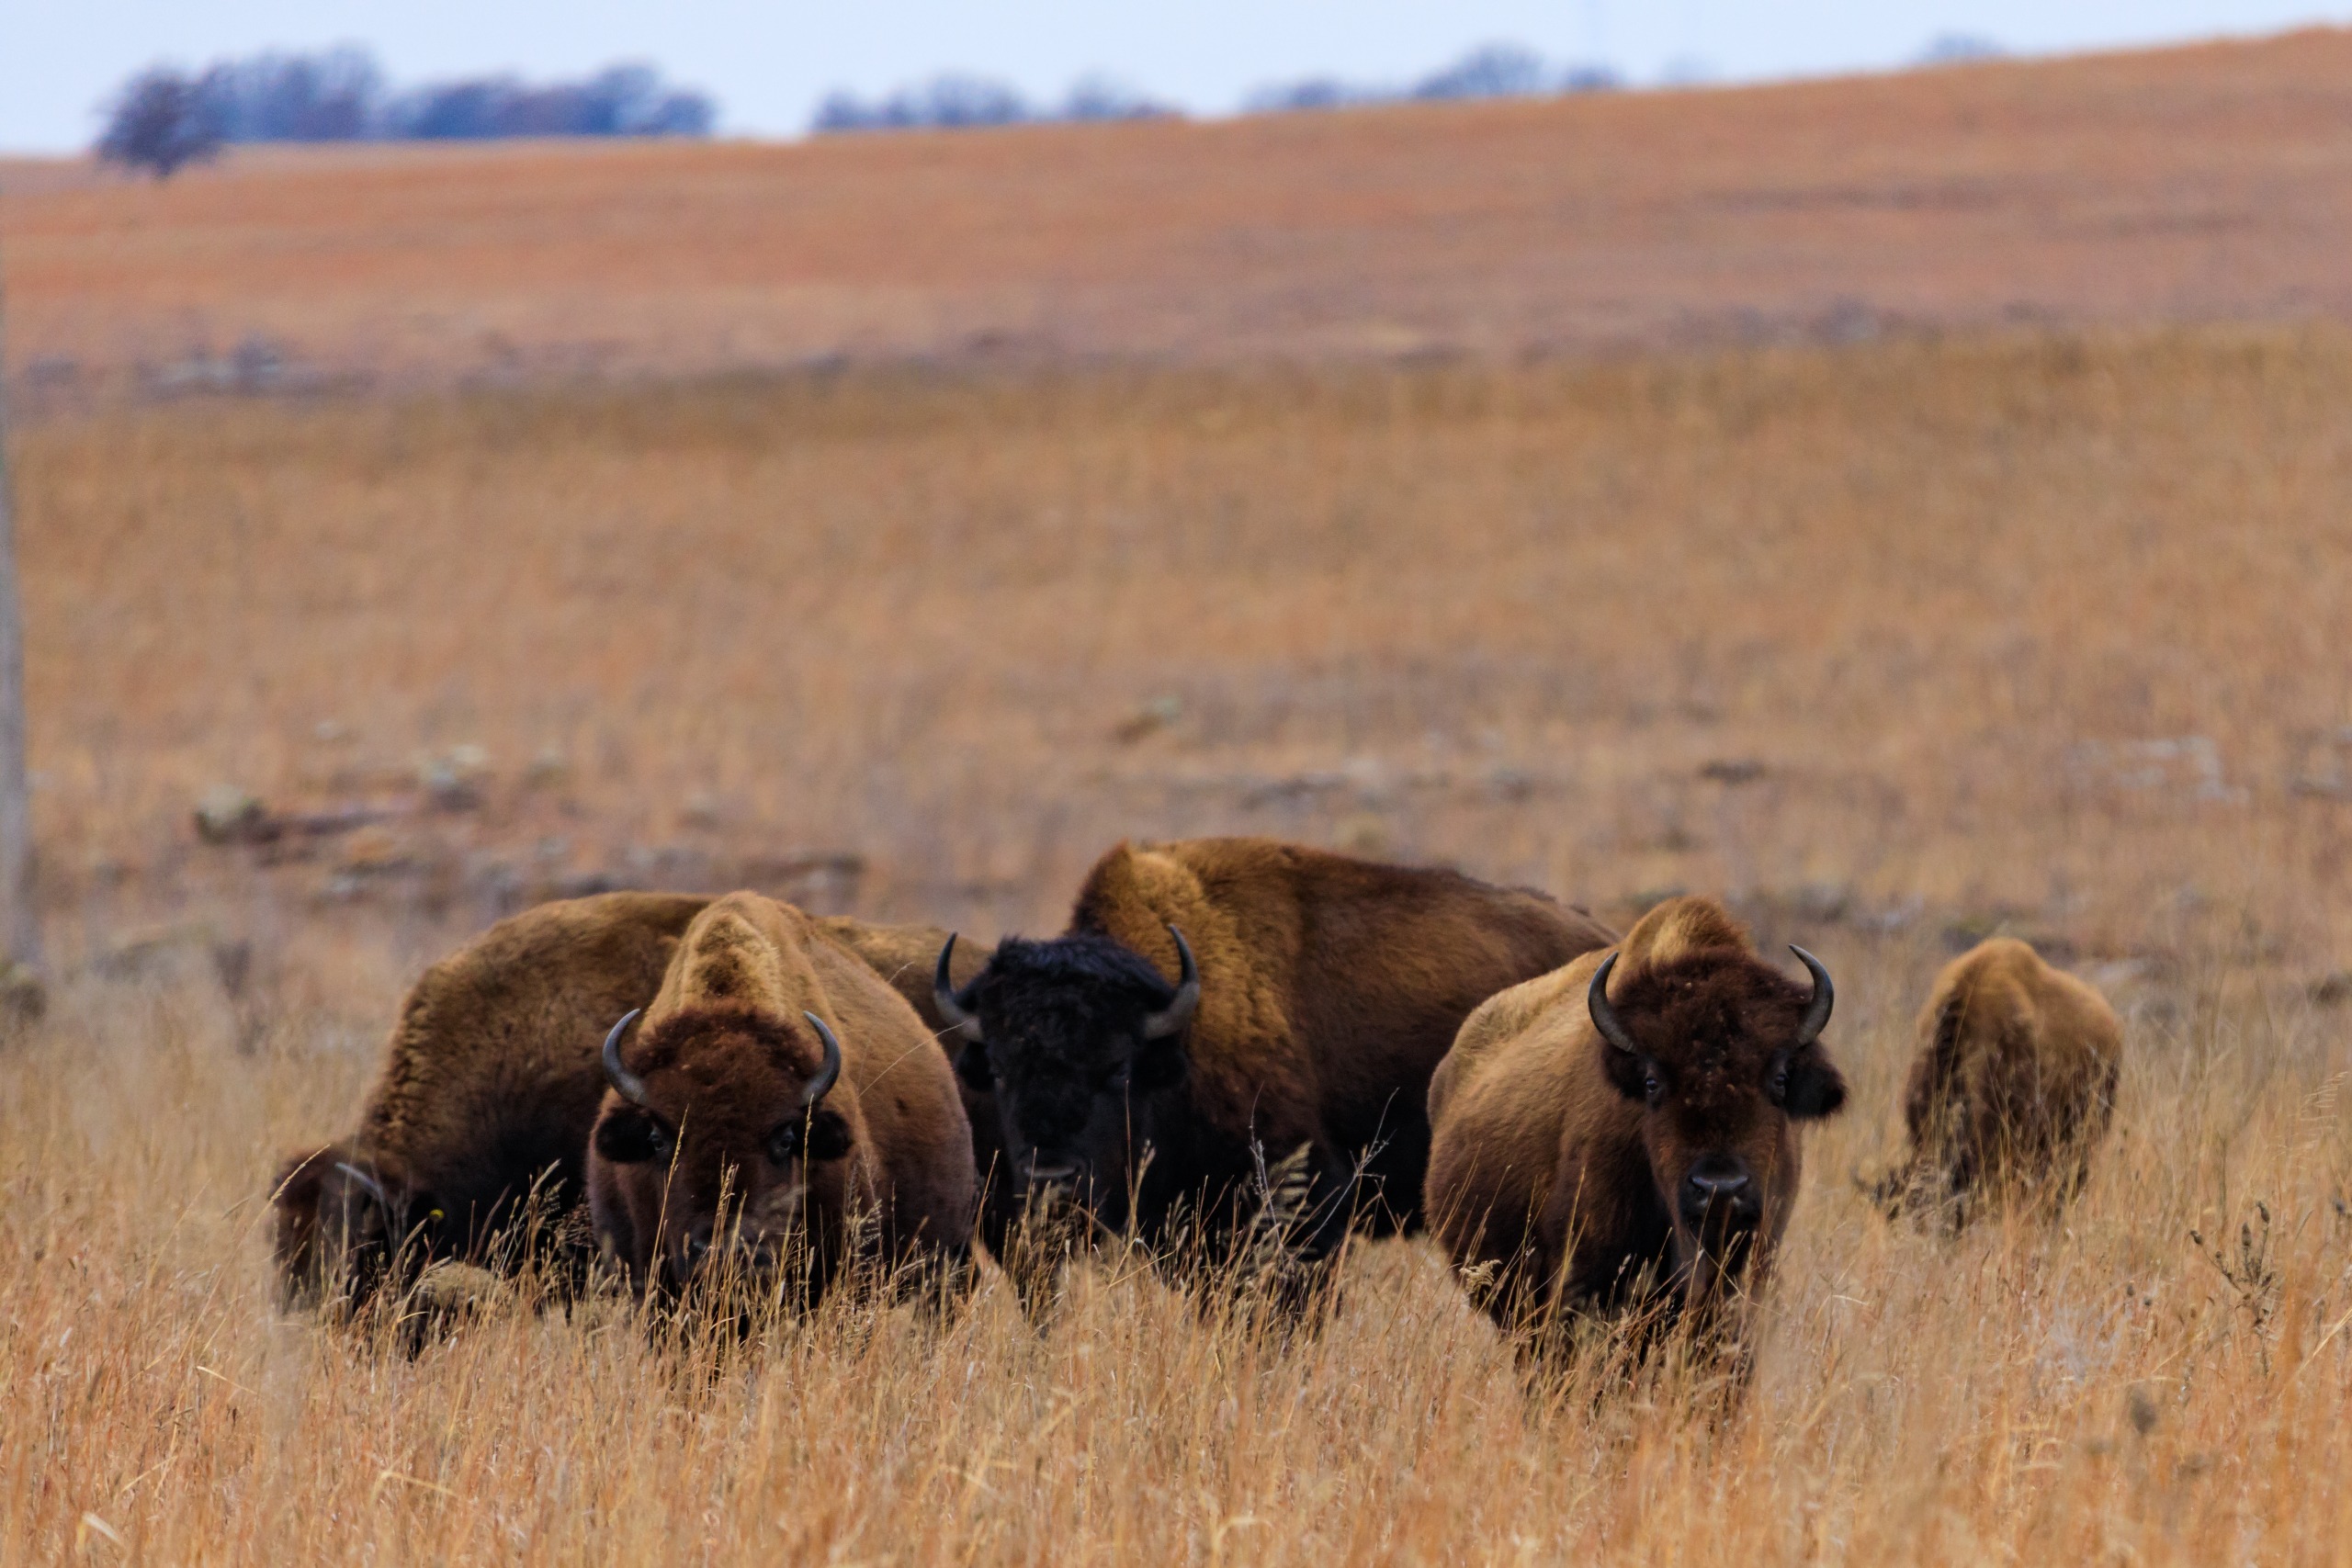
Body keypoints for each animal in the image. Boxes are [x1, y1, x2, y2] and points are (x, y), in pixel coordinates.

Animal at [931, 836, 1617, 1298]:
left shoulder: (1303, 1206)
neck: (1181, 1027)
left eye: (1118, 1069)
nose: (1052, 1181)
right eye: (998, 1069)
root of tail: (1603, 938)